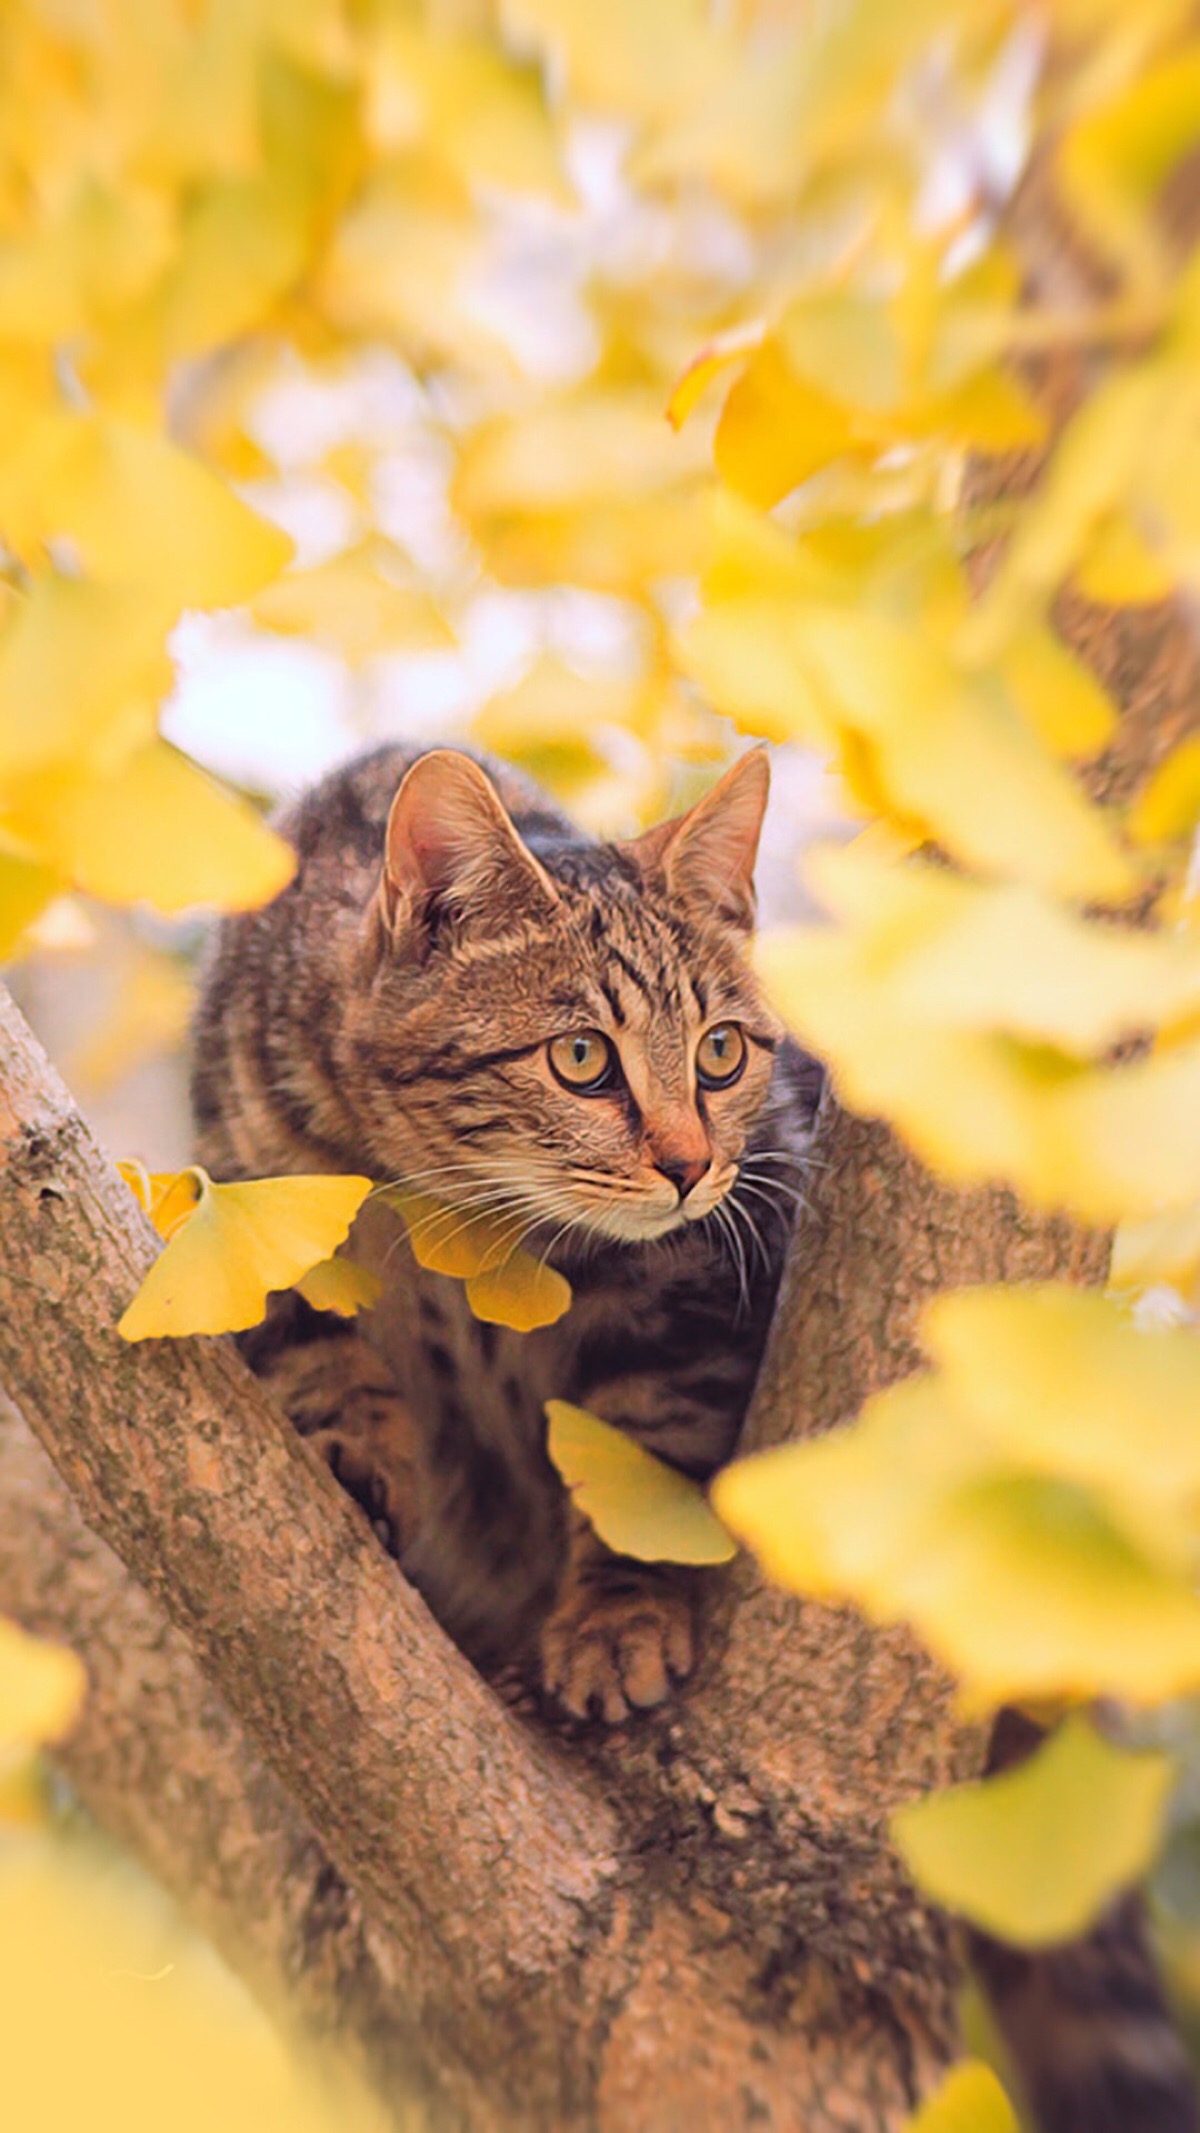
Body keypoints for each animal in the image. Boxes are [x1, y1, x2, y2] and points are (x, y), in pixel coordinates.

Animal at [192, 742, 826, 1723]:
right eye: (581, 1057)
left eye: (721, 1051)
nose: (690, 1167)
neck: (451, 1211)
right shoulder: (243, 1185)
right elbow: (303, 1336)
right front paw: (360, 1443)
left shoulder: (712, 1265)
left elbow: (644, 1454)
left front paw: (618, 1616)